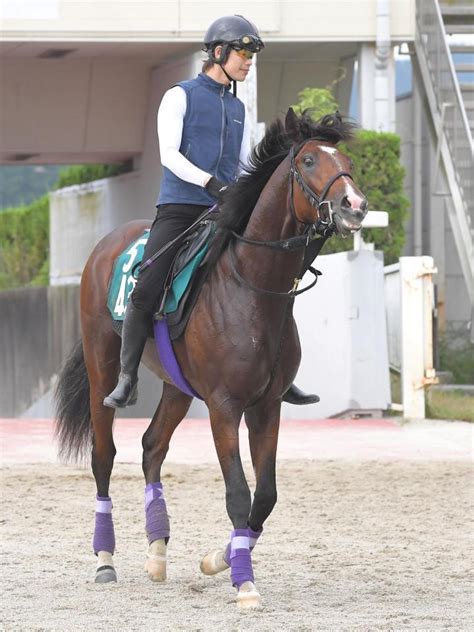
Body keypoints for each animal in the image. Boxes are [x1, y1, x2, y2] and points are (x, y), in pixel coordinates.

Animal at [54, 108, 366, 608]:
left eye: (348, 162)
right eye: (310, 160)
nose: (354, 205)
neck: (254, 289)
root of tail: (108, 243)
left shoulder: (266, 406)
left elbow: (265, 496)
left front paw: (219, 559)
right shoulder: (224, 407)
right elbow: (238, 493)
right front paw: (244, 583)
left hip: (177, 387)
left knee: (151, 448)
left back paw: (157, 553)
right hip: (103, 369)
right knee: (104, 456)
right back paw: (105, 559)